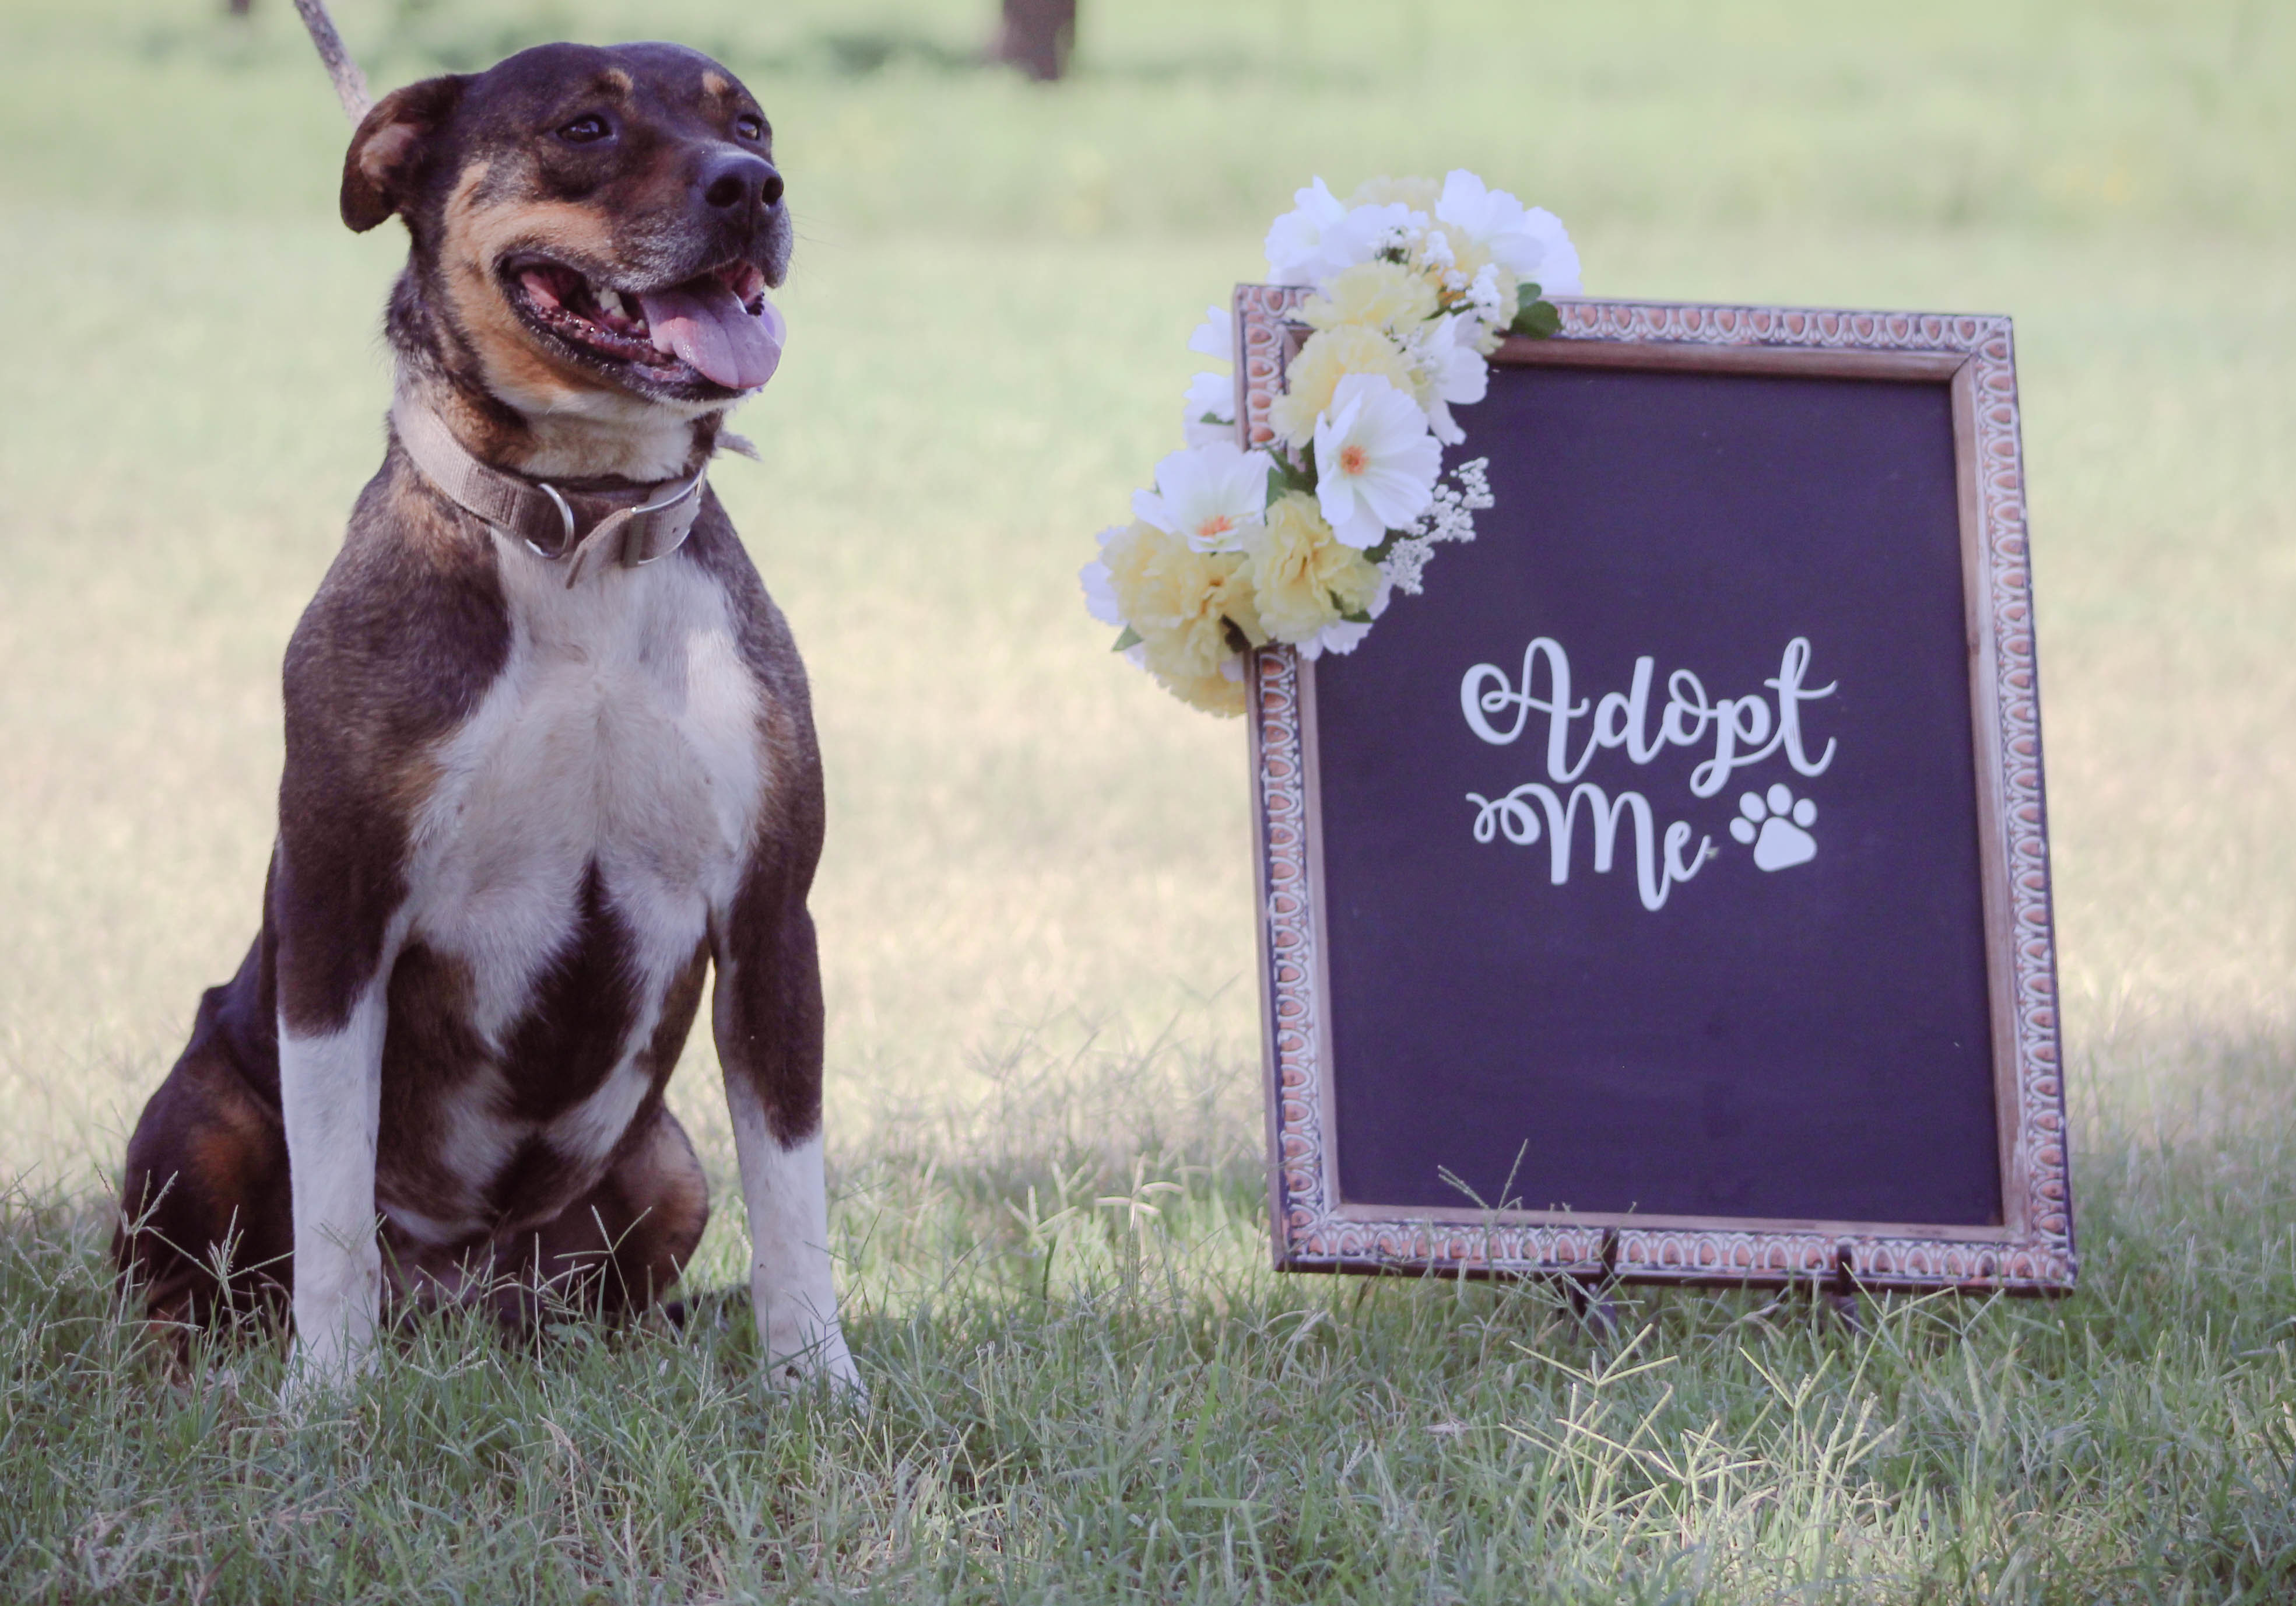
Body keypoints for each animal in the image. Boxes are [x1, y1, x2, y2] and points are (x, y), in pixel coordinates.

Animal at [111, 40, 863, 1397]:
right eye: (583, 126)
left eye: (751, 123)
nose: (751, 188)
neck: (579, 528)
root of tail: (459, 1297)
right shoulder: (340, 912)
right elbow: (335, 1198)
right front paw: (326, 1395)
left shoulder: (773, 920)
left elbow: (793, 1192)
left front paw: (819, 1383)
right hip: (200, 1114)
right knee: (181, 1282)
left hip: (664, 1164)